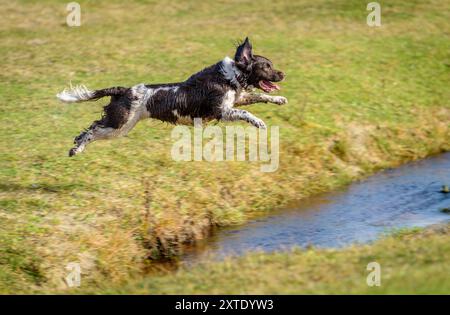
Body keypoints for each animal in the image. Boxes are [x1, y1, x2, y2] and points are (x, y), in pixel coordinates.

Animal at [57, 38, 288, 157]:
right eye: (266, 66)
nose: (283, 74)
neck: (230, 77)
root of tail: (123, 90)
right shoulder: (221, 110)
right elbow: (245, 112)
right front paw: (259, 122)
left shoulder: (235, 100)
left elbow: (257, 96)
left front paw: (280, 100)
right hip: (119, 124)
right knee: (92, 129)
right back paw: (76, 148)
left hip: (120, 126)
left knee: (91, 129)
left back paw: (76, 146)